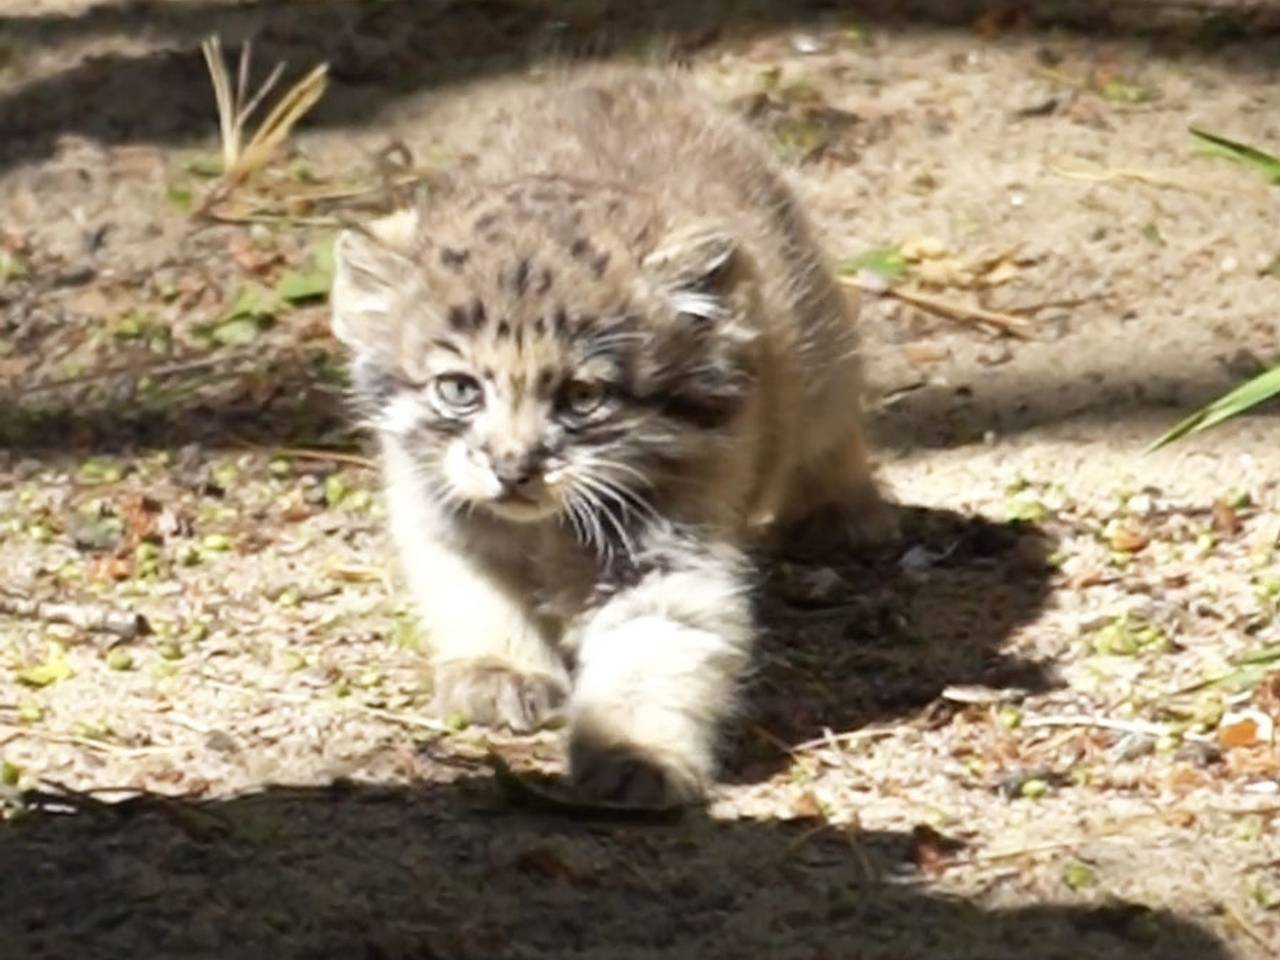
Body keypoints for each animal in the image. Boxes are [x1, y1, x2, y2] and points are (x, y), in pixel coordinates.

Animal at [327, 64, 880, 808]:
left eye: (582, 398)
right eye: (459, 388)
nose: (513, 468)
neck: (545, 526)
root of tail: (623, 76)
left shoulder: (669, 549)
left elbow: (656, 646)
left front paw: (632, 756)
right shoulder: (439, 509)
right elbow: (473, 593)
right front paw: (500, 671)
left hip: (821, 355)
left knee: (833, 428)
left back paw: (843, 512)